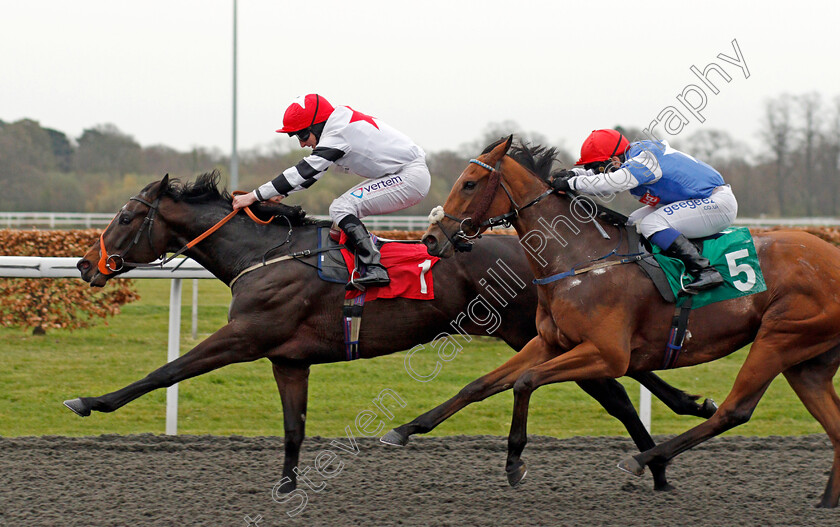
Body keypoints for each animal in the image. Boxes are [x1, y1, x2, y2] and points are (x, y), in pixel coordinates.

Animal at [74, 174, 716, 496]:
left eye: (127, 217)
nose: (85, 265)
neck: (264, 254)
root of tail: (543, 250)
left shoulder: (245, 337)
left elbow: (166, 371)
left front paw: (91, 400)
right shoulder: (288, 358)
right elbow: (293, 427)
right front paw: (286, 486)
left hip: (528, 334)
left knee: (612, 389)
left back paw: (657, 459)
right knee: (620, 383)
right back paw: (668, 447)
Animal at [424, 138, 840, 510]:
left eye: (469, 183)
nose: (430, 239)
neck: (582, 258)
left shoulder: (607, 354)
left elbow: (525, 382)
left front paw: (514, 463)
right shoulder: (549, 342)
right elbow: (480, 385)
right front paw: (411, 428)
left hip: (780, 337)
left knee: (733, 410)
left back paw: (645, 459)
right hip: (806, 362)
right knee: (832, 425)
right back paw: (825, 501)